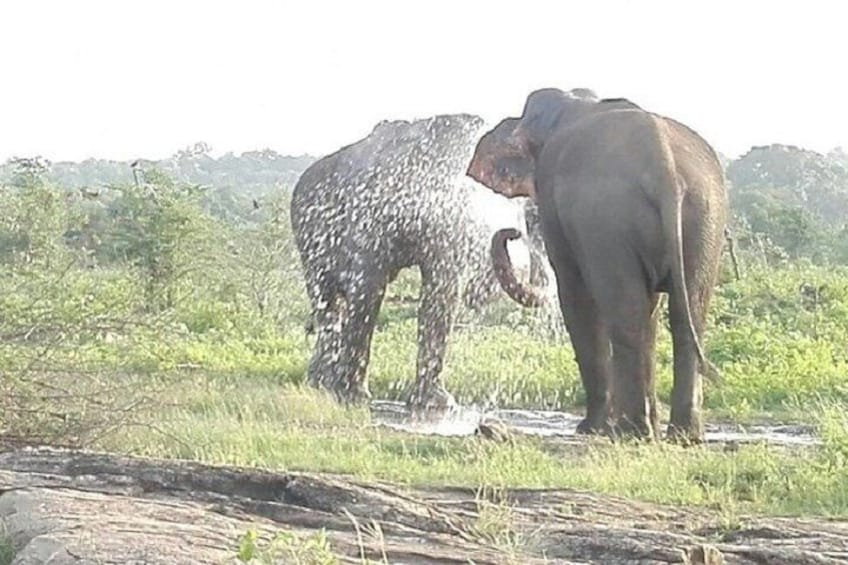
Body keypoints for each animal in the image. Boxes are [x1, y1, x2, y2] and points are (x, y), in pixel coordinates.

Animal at [290, 112, 544, 410]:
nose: (512, 233)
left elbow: (441, 292)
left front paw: (437, 404)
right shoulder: (369, 214)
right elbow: (368, 287)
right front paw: (355, 398)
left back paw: (319, 384)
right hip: (306, 235)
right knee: (327, 298)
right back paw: (324, 385)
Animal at [464, 88, 728, 440]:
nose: (512, 232)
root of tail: (664, 166)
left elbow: (574, 293)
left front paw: (590, 429)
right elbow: (651, 308)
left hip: (607, 220)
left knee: (627, 314)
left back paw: (631, 431)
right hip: (704, 218)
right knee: (685, 318)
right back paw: (679, 436)